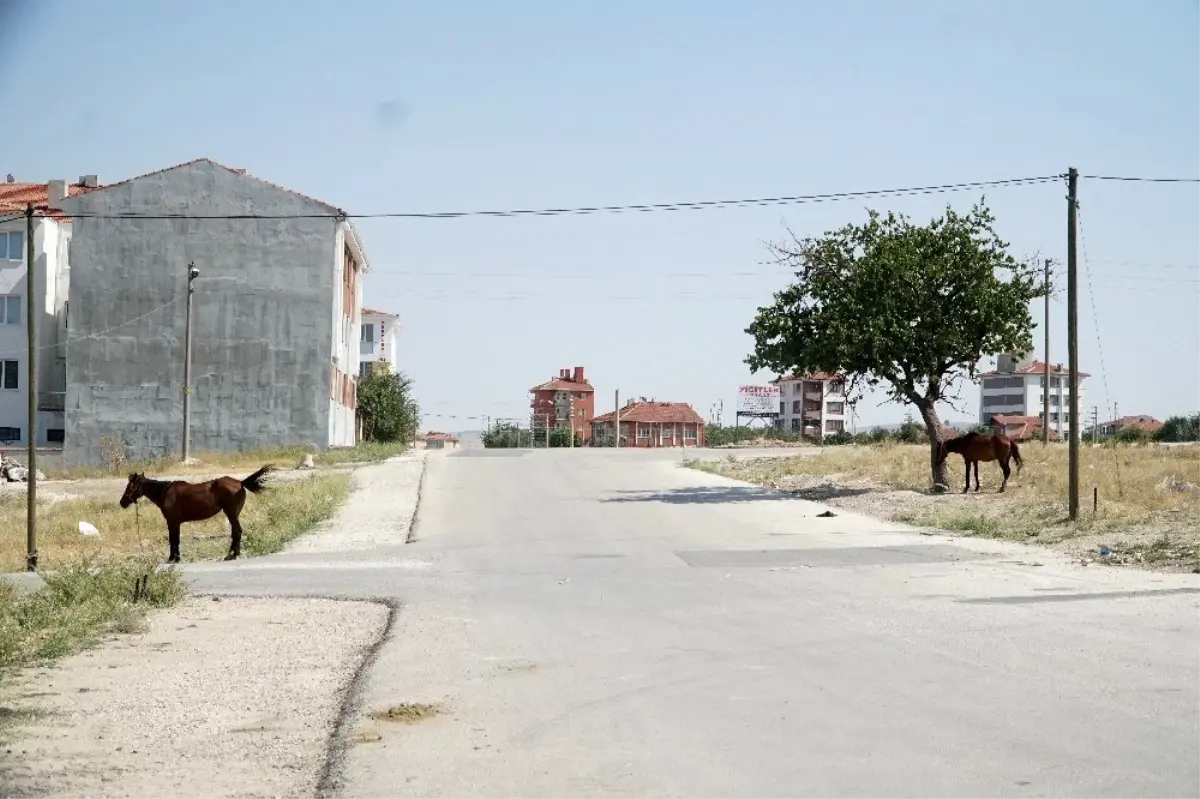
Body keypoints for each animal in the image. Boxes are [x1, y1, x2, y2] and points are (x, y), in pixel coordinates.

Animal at [118, 463, 274, 563]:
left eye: (130, 486)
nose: (122, 502)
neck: (165, 492)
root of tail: (241, 482)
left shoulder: (172, 522)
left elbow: (173, 540)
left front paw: (173, 558)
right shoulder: (175, 523)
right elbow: (175, 539)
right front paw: (175, 557)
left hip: (231, 513)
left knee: (237, 532)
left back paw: (232, 555)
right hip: (233, 514)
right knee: (236, 532)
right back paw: (232, 554)